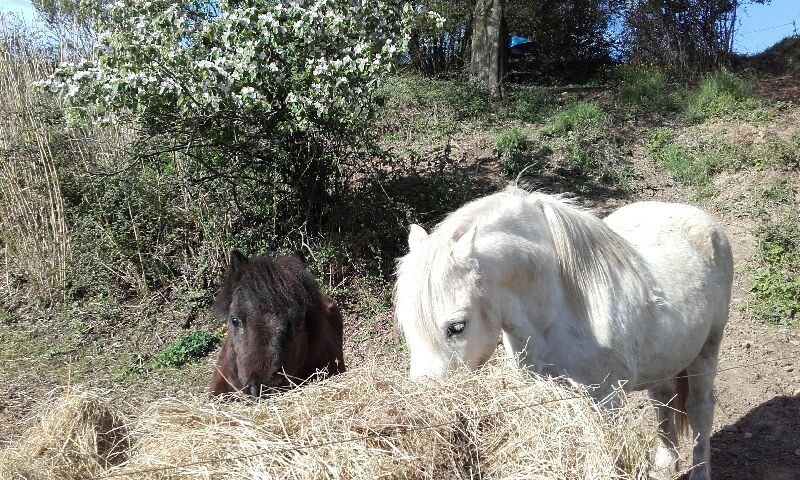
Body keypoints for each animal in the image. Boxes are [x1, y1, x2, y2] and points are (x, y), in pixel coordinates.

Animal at [394, 186, 733, 480]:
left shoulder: (606, 402)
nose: (426, 409)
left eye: (457, 327)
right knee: (663, 400)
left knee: (700, 408)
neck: (559, 309)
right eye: (407, 327)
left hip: (706, 351)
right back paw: (665, 463)